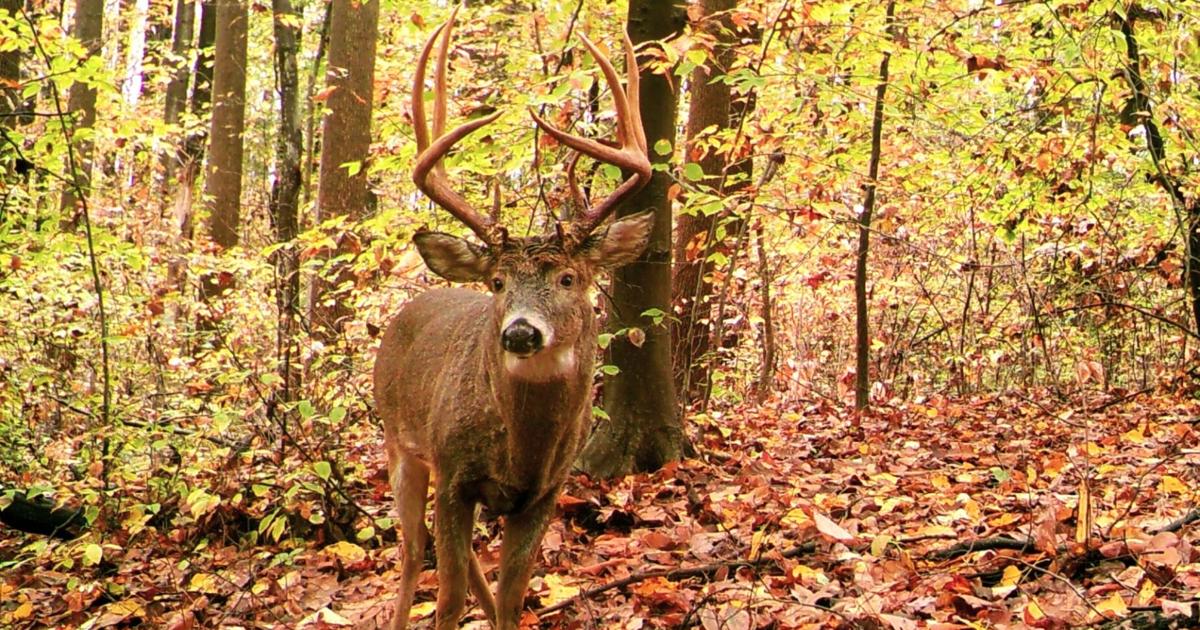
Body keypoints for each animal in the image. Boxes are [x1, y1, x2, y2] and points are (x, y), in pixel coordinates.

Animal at [373, 10, 654, 630]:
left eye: (569, 278)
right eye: (498, 283)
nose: (521, 331)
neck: (521, 449)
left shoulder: (545, 493)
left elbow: (511, 599)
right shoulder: (454, 475)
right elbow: (448, 599)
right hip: (400, 441)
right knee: (412, 552)